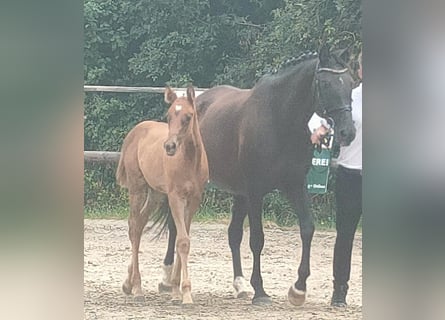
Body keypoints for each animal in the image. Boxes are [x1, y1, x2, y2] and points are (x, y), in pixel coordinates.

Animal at [117, 85, 209, 304]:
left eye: (188, 117)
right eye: (168, 116)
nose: (169, 147)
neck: (189, 161)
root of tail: (134, 132)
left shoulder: (193, 201)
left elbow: (183, 239)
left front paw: (176, 291)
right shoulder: (175, 197)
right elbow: (182, 241)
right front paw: (185, 294)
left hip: (155, 194)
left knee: (140, 224)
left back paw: (128, 284)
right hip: (137, 189)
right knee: (134, 228)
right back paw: (137, 289)